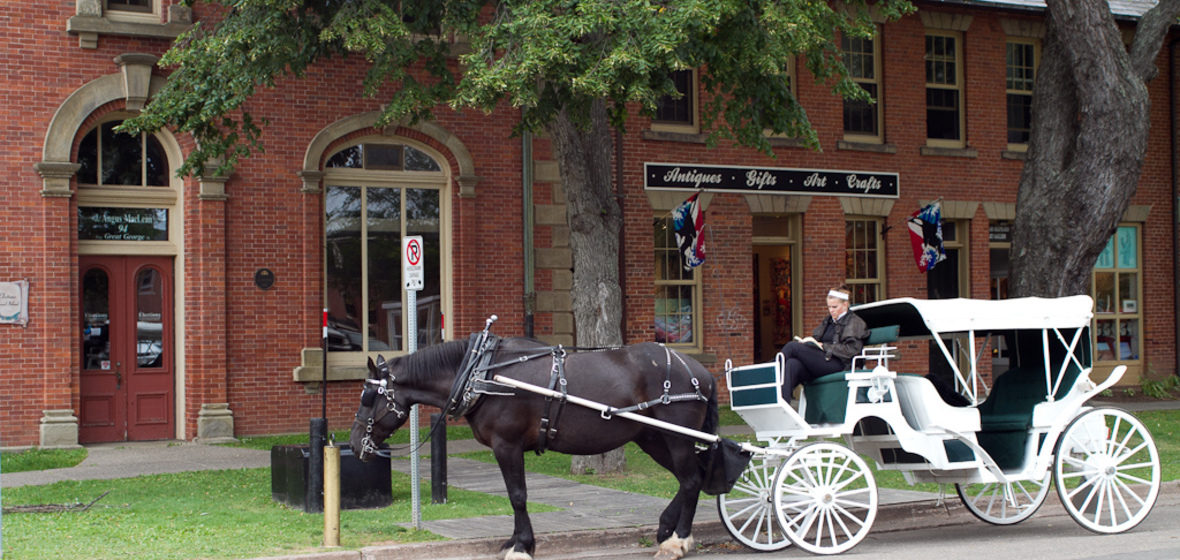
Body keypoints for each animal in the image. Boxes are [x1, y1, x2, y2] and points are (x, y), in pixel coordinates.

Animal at [349, 337, 717, 560]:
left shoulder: (507, 445)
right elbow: (515, 497)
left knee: (690, 481)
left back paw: (677, 540)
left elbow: (517, 496)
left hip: (677, 437)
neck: (483, 375)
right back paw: (666, 529)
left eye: (369, 396)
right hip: (653, 437)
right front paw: (514, 541)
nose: (353, 444)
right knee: (691, 479)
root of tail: (700, 371)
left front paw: (522, 546)